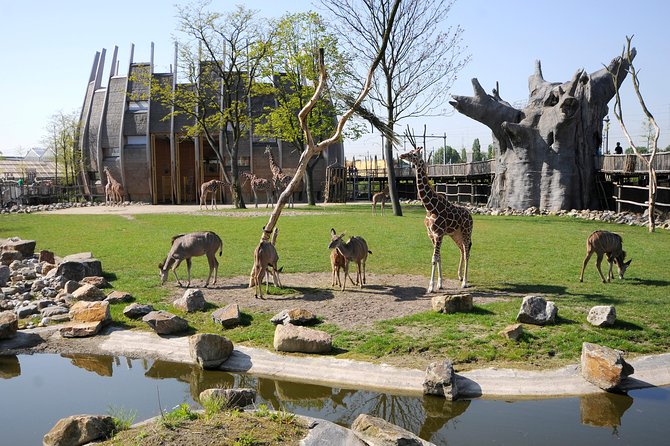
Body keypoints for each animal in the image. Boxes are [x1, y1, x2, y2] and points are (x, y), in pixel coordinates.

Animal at [402, 146, 476, 290]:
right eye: (409, 151)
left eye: (414, 154)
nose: (402, 155)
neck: (430, 207)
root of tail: (470, 216)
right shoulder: (431, 235)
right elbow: (439, 257)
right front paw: (440, 283)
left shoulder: (439, 234)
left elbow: (434, 258)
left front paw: (431, 286)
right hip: (455, 234)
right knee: (462, 249)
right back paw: (460, 276)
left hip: (466, 231)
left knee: (467, 251)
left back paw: (464, 282)